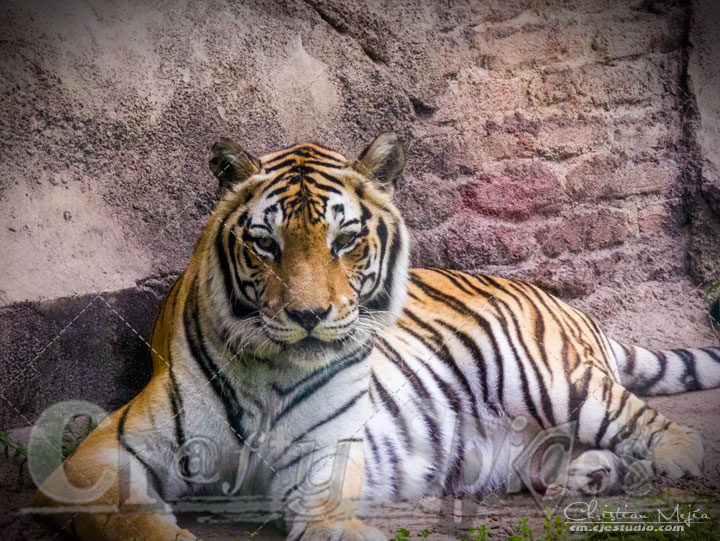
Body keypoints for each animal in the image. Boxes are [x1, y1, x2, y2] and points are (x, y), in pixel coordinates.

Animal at [34, 133, 720, 540]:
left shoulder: (322, 463)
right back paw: (592, 476)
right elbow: (122, 514)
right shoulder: (102, 452)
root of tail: (561, 301)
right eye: (265, 244)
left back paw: (662, 464)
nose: (309, 314)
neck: (269, 371)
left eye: (345, 240)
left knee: (666, 430)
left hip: (555, 380)